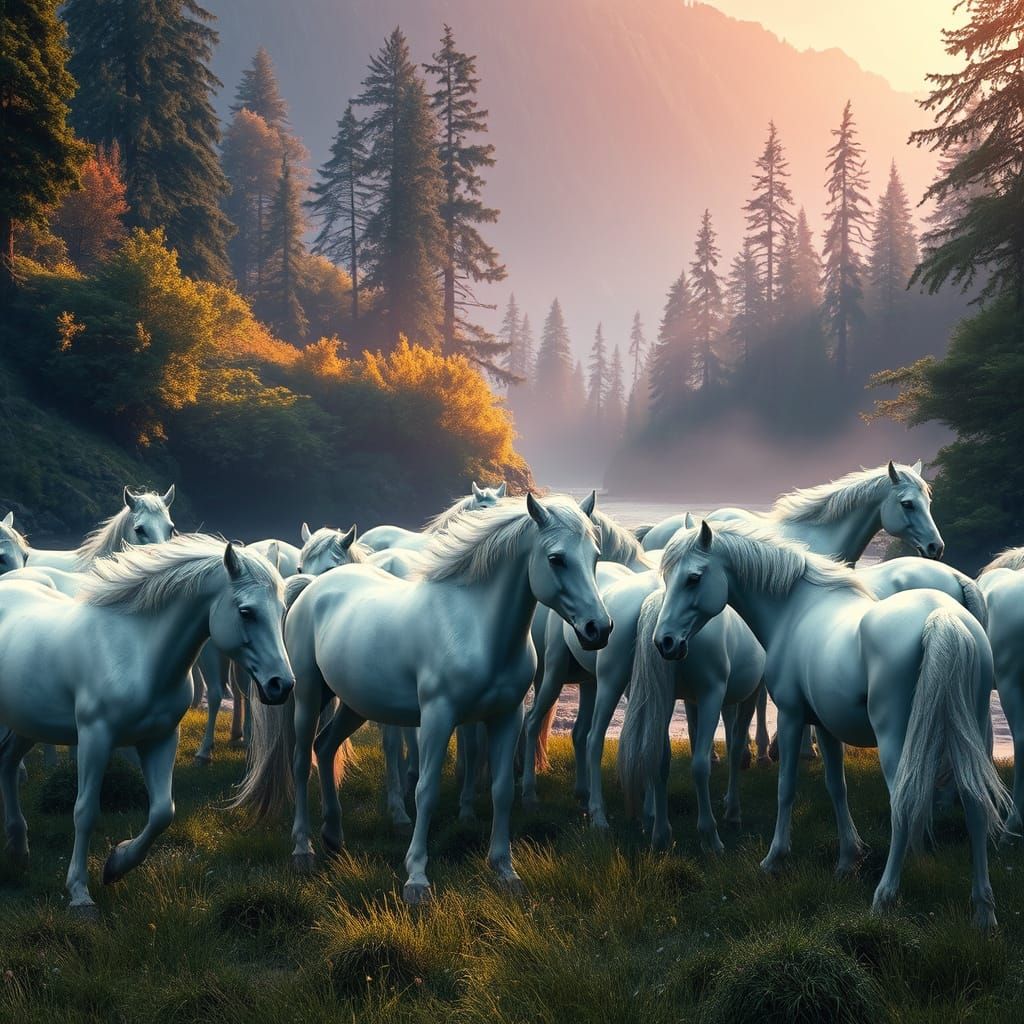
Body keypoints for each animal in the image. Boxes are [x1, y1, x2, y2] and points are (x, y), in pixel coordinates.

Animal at [0, 535, 294, 915]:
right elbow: (85, 811)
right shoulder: (95, 738)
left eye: (282, 609)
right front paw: (79, 893)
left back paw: (18, 849)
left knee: (7, 765)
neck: (136, 653)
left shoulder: (161, 739)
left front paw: (117, 863)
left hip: (26, 724)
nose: (281, 685)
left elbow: (162, 812)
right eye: (246, 612)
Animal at [232, 493, 612, 904]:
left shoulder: (506, 718)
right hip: (307, 696)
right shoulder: (437, 718)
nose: (599, 628)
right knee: (302, 761)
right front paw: (416, 878)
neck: (474, 627)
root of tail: (314, 586)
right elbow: (425, 791)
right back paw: (303, 849)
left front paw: (505, 870)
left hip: (354, 705)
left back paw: (333, 835)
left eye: (594, 555)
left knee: (326, 746)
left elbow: (502, 790)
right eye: (557, 558)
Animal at [643, 518, 1007, 928]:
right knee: (975, 804)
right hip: (966, 734)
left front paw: (775, 858)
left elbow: (786, 787)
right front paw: (848, 858)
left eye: (693, 578)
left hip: (896, 740)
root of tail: (941, 618)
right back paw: (983, 910)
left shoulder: (792, 716)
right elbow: (837, 787)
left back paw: (884, 896)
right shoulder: (826, 726)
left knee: (903, 803)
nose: (665, 642)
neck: (795, 609)